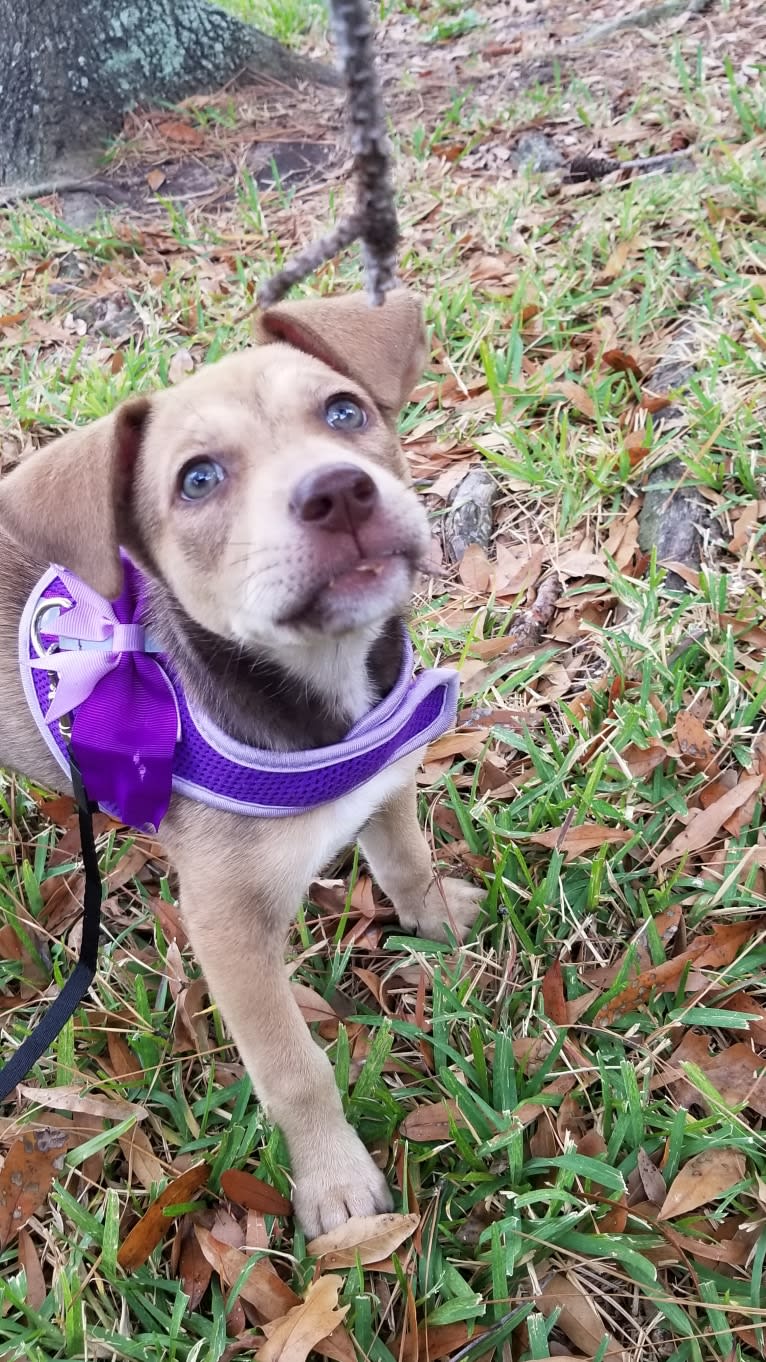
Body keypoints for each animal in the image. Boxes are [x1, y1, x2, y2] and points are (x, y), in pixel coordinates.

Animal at [0, 292, 479, 1242]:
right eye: (197, 480)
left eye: (345, 412)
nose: (339, 492)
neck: (325, 699)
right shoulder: (229, 928)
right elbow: (295, 1071)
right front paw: (336, 1185)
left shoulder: (385, 777)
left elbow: (406, 862)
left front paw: (437, 916)